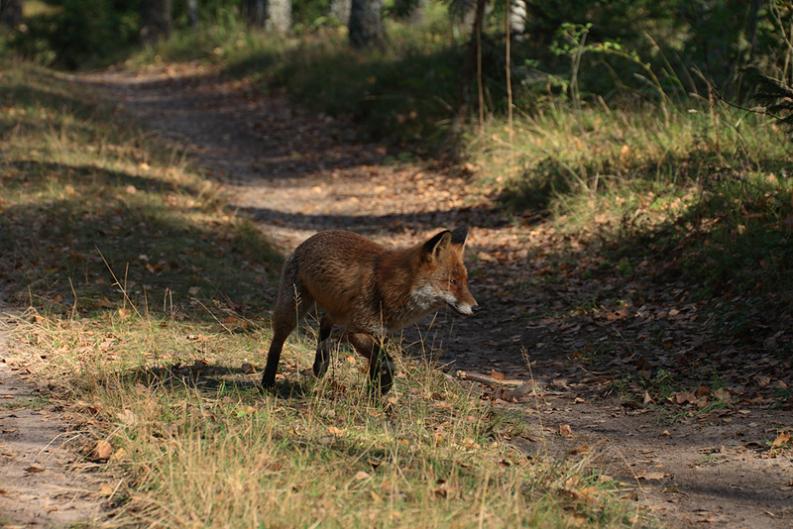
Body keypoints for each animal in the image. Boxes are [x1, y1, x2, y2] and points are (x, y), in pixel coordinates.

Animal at [262, 227, 480, 392]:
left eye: (465, 281)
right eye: (452, 282)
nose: (476, 308)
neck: (393, 287)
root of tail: (311, 238)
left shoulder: (380, 334)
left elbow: (378, 365)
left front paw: (373, 396)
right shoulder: (357, 331)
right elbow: (387, 363)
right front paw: (382, 390)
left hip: (339, 311)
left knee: (324, 322)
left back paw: (321, 364)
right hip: (294, 308)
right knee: (278, 341)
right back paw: (267, 382)